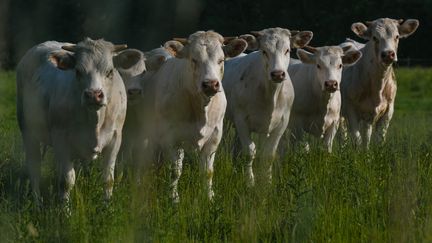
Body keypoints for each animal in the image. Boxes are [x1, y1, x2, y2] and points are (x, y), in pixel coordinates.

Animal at [16, 38, 137, 203]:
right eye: (78, 71)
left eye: (110, 71)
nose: (94, 95)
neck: (94, 120)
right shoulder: (60, 139)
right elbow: (66, 181)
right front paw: (65, 209)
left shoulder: (116, 138)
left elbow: (108, 179)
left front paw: (107, 205)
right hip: (27, 130)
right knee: (34, 167)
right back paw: (37, 201)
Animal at [140, 30, 248, 201]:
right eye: (194, 60)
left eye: (221, 60)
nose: (210, 84)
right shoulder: (171, 138)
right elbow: (175, 171)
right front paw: (173, 198)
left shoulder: (215, 136)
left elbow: (208, 172)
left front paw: (209, 197)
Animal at [223, 28, 314, 184]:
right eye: (264, 51)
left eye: (287, 50)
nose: (277, 74)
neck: (270, 95)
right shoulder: (241, 119)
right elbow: (249, 152)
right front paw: (250, 182)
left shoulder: (282, 123)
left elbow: (269, 154)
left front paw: (267, 182)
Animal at [340, 17, 418, 148]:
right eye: (374, 37)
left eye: (397, 36)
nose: (388, 54)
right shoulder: (350, 109)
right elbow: (356, 138)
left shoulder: (388, 110)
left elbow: (379, 139)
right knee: (342, 134)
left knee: (366, 133)